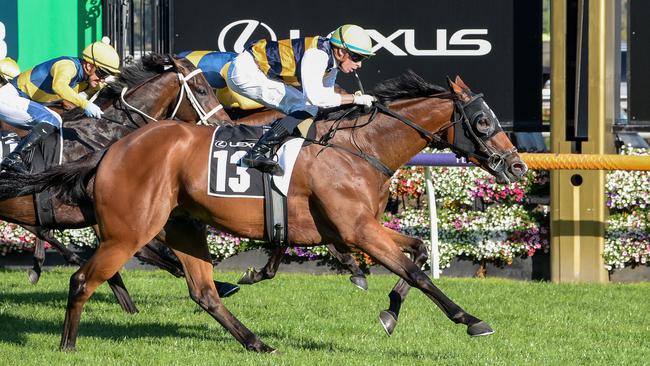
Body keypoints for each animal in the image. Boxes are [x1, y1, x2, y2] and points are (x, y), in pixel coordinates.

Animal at [1, 72, 528, 352]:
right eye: (483, 122)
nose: (518, 165)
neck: (360, 148)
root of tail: (112, 150)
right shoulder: (357, 229)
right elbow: (416, 272)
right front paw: (469, 318)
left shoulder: (359, 228)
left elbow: (416, 252)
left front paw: (389, 313)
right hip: (130, 229)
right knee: (83, 278)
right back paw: (68, 345)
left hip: (180, 227)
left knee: (203, 292)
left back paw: (255, 341)